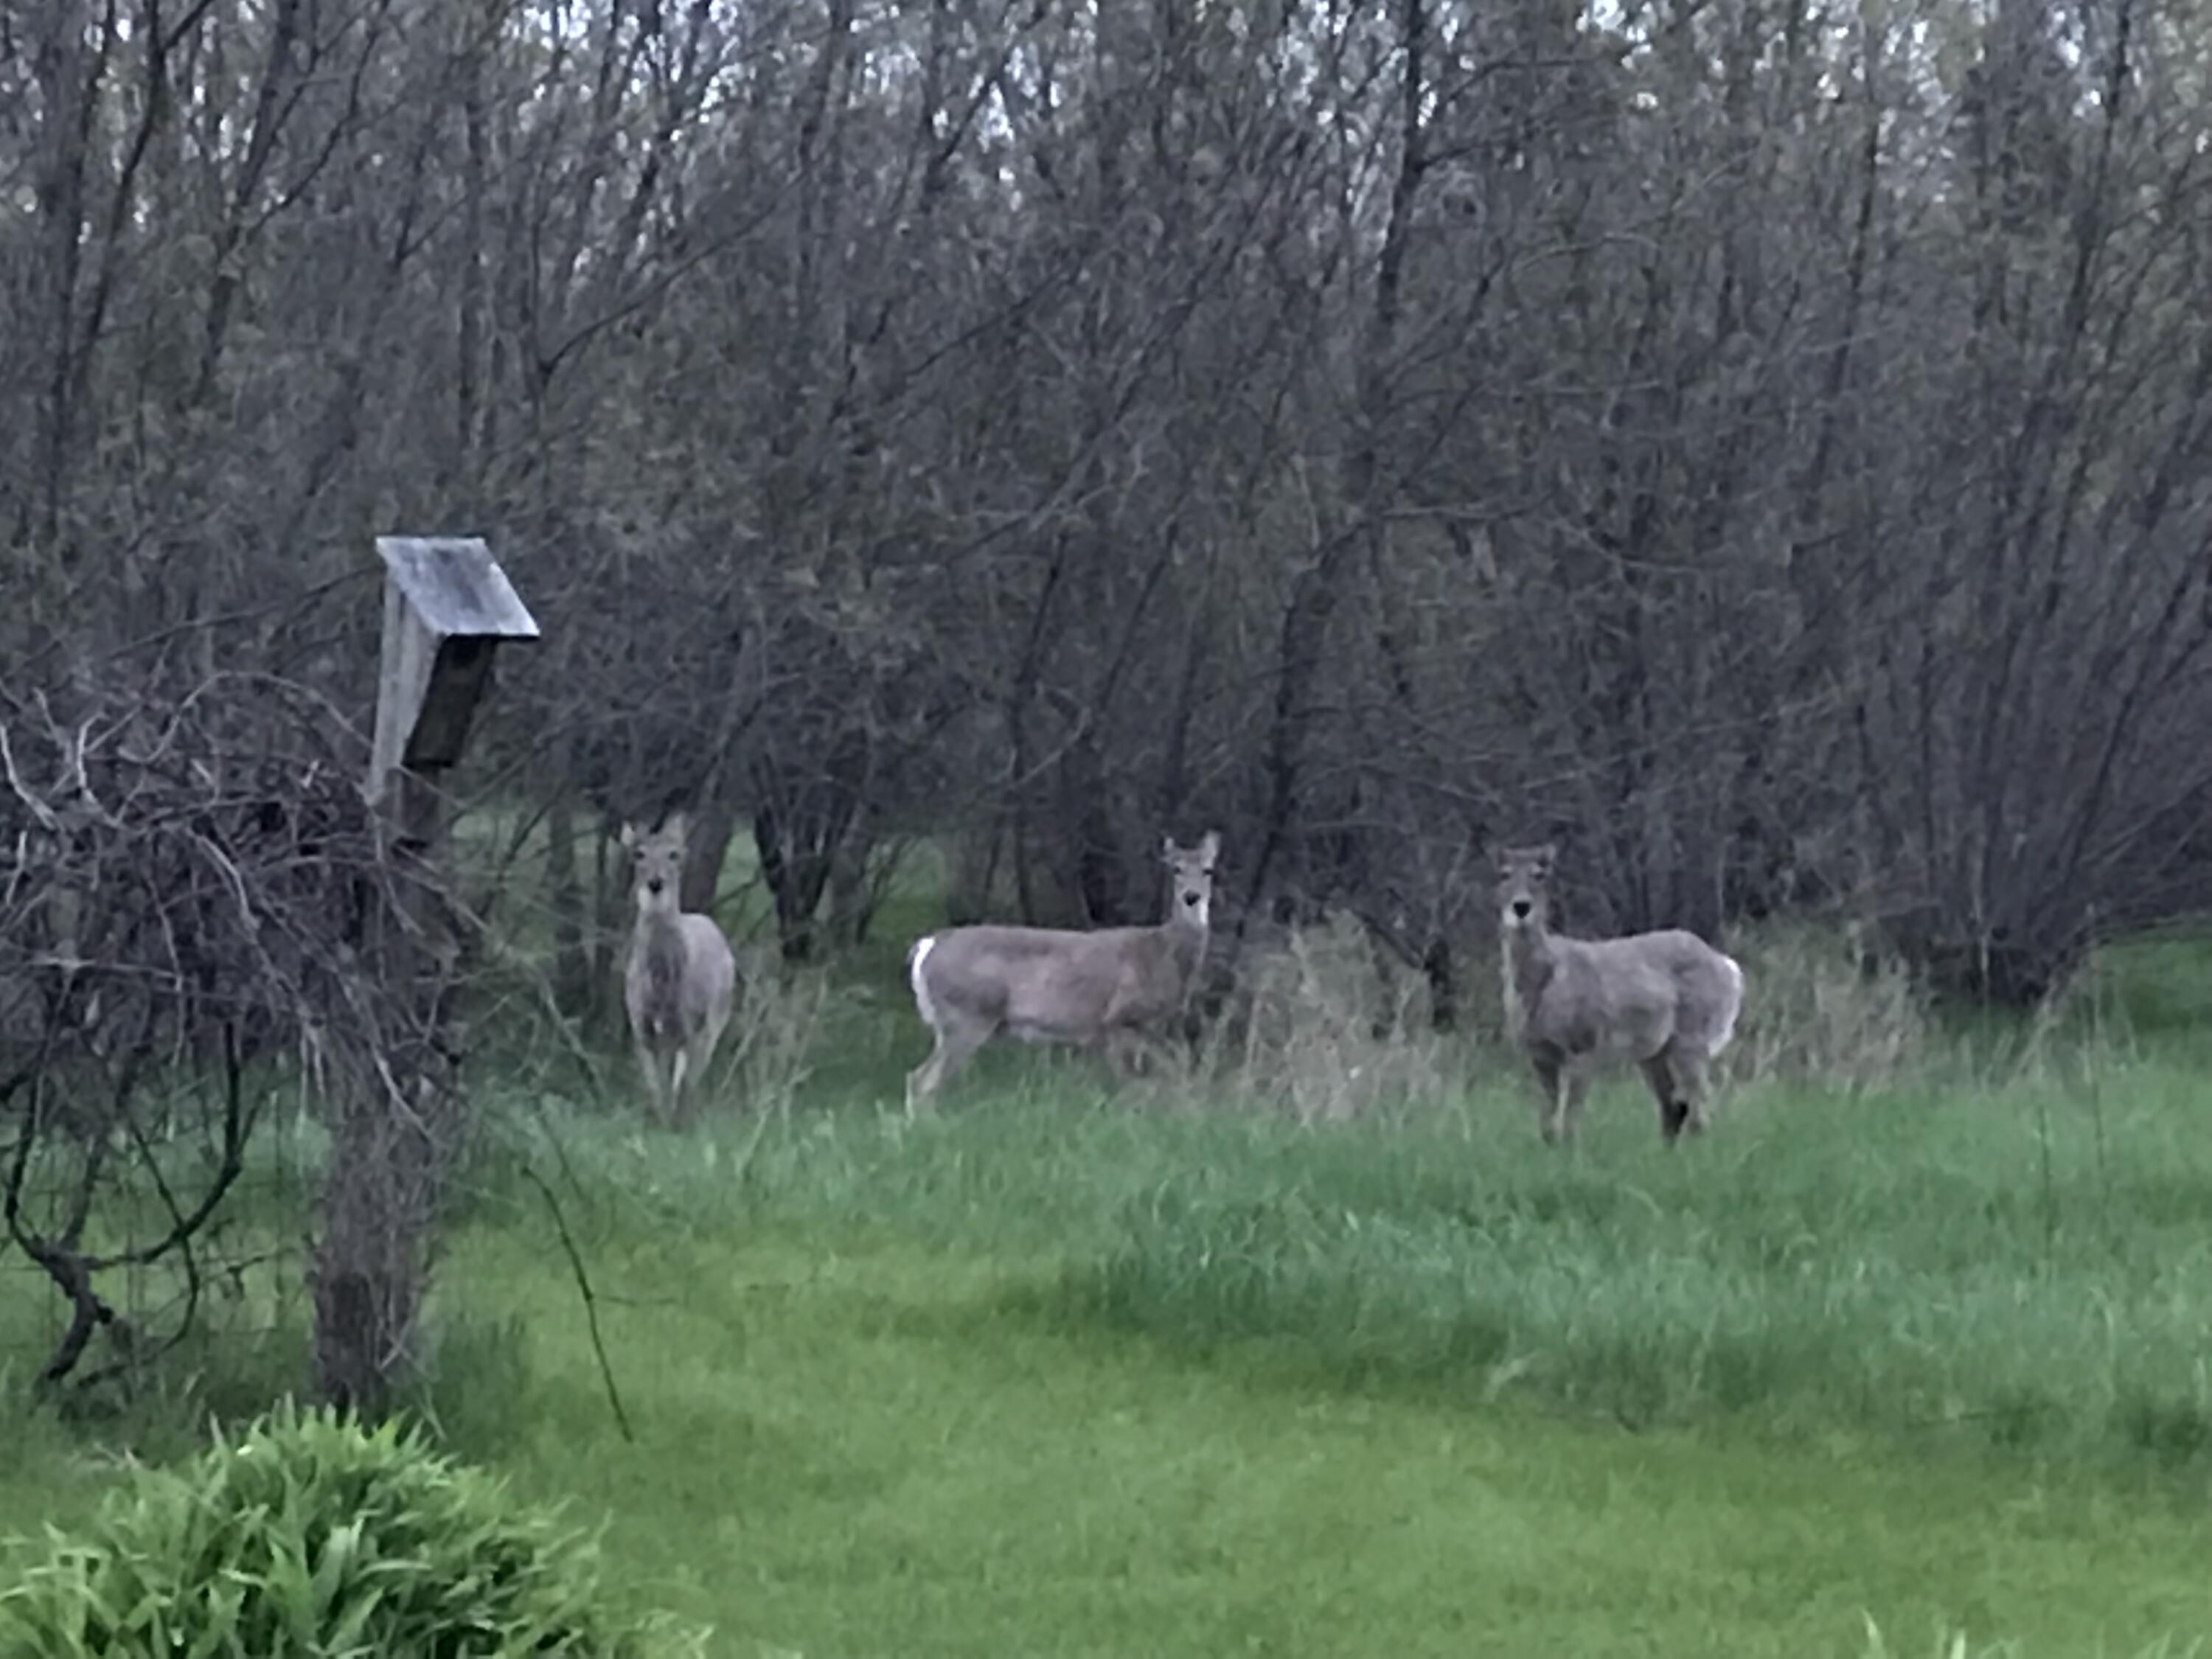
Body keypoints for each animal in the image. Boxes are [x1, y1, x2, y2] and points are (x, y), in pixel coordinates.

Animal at [620, 813, 739, 1126]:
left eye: (674, 854)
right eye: (639, 853)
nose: (655, 883)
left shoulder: (694, 1023)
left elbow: (686, 1082)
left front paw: (682, 1125)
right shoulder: (641, 1027)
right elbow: (655, 1085)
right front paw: (660, 1122)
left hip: (717, 1017)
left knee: (692, 1073)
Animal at [902, 831, 1221, 1113]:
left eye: (1208, 870)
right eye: (1176, 869)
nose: (1192, 896)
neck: (1163, 953)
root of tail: (929, 944)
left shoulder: (1145, 1030)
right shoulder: (1119, 1019)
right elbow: (1138, 1086)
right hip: (967, 1016)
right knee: (922, 1080)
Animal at [1494, 842, 1746, 1147]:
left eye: (1539, 874)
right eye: (1504, 874)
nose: (1521, 907)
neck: (1543, 982)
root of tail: (1728, 968)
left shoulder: (1583, 1046)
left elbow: (1570, 1122)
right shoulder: (1540, 1055)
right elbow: (1548, 1126)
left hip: (1692, 1039)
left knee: (1699, 1109)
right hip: (1653, 1053)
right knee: (1673, 1107)